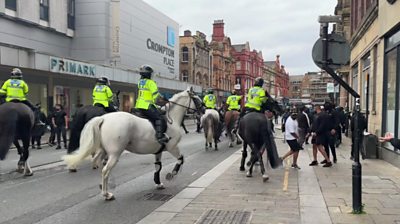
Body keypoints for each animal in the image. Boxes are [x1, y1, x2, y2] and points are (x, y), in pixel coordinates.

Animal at [63, 88, 202, 200]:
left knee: (98, 163)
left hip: (103, 150)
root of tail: (104, 118)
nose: (203, 110)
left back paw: (103, 185)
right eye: (197, 99)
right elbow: (181, 159)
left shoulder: (158, 151)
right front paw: (172, 174)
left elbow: (158, 166)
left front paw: (158, 183)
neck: (171, 121)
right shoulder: (172, 147)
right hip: (115, 153)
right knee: (106, 170)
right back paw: (107, 194)